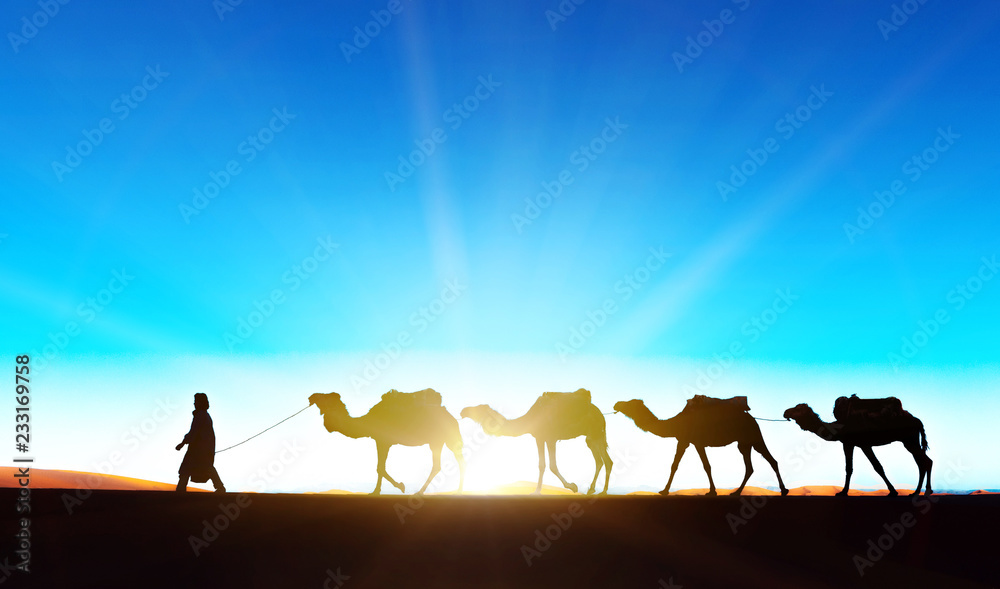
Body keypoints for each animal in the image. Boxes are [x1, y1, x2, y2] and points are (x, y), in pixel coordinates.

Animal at [308, 388, 464, 494]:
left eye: (326, 398)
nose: (312, 396)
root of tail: (451, 417)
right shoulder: (381, 441)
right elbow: (380, 467)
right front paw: (378, 490)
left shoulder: (383, 441)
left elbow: (380, 467)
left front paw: (397, 487)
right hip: (439, 441)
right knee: (444, 464)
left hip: (443, 439)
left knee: (454, 462)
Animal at [458, 388, 612, 494]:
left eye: (479, 409)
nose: (463, 411)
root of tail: (600, 413)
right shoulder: (539, 438)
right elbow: (542, 465)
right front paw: (537, 491)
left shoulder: (550, 438)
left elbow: (552, 465)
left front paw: (572, 486)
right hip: (592, 437)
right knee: (601, 460)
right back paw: (594, 489)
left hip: (597, 432)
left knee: (604, 460)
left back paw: (602, 491)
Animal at [608, 396, 788, 496]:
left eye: (630, 403)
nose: (616, 404)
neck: (676, 423)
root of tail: (752, 418)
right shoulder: (684, 440)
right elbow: (674, 465)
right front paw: (664, 490)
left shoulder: (696, 442)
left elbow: (706, 466)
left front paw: (712, 491)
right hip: (744, 443)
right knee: (750, 467)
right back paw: (736, 492)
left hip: (754, 437)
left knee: (771, 460)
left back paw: (784, 490)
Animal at [784, 396, 932, 496]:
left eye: (798, 408)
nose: (786, 412)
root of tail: (917, 421)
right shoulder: (852, 443)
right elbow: (850, 468)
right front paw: (843, 492)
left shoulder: (861, 444)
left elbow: (876, 467)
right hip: (910, 441)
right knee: (922, 462)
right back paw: (916, 492)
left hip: (909, 440)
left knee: (926, 462)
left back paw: (926, 491)